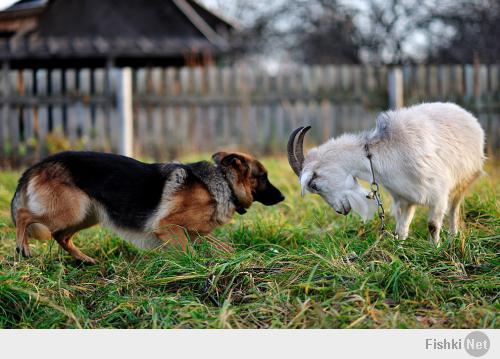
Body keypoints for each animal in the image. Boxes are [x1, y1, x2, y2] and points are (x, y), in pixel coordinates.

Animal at [9, 150, 286, 262]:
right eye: (263, 177)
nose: (283, 197)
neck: (223, 183)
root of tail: (39, 164)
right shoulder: (169, 228)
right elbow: (190, 253)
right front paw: (195, 269)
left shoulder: (196, 234)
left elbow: (225, 247)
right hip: (71, 210)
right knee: (23, 215)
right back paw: (23, 248)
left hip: (86, 214)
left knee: (61, 236)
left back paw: (85, 259)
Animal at [288, 102, 486, 246]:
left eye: (314, 185)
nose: (340, 211)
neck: (378, 153)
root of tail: (467, 115)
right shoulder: (404, 197)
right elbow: (401, 228)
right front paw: (399, 249)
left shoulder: (438, 193)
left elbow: (432, 225)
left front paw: (434, 249)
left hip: (463, 181)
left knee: (453, 210)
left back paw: (453, 237)